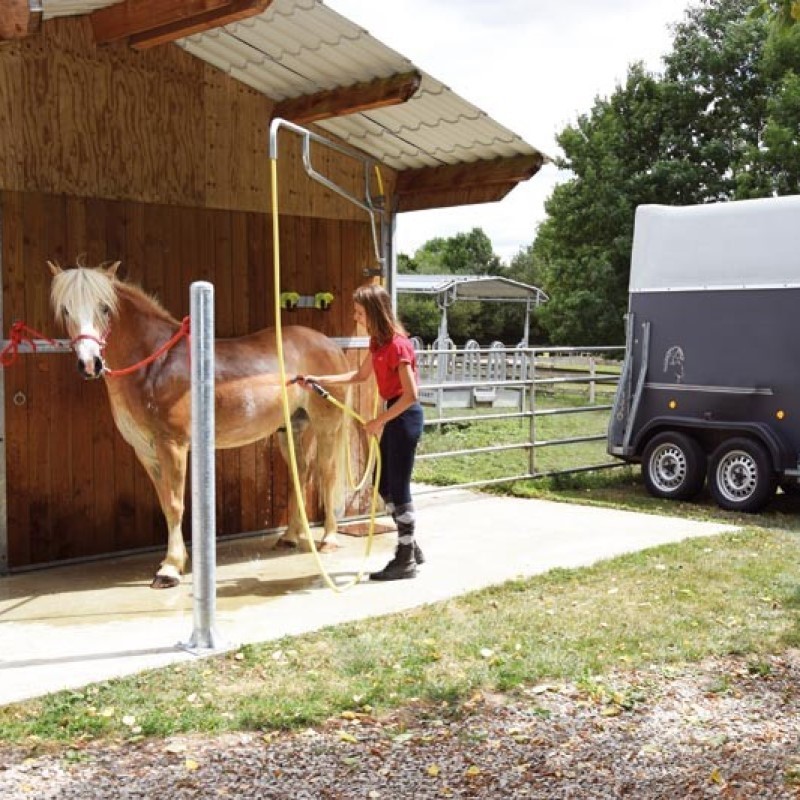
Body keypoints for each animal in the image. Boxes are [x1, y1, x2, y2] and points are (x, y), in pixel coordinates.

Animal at [48, 261, 351, 589]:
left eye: (105, 307)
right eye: (66, 309)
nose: (90, 364)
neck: (155, 365)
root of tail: (330, 345)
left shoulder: (173, 445)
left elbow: (176, 504)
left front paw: (169, 569)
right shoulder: (146, 451)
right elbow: (165, 503)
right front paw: (176, 561)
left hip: (326, 425)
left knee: (327, 473)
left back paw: (329, 539)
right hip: (292, 429)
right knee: (303, 473)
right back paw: (290, 537)